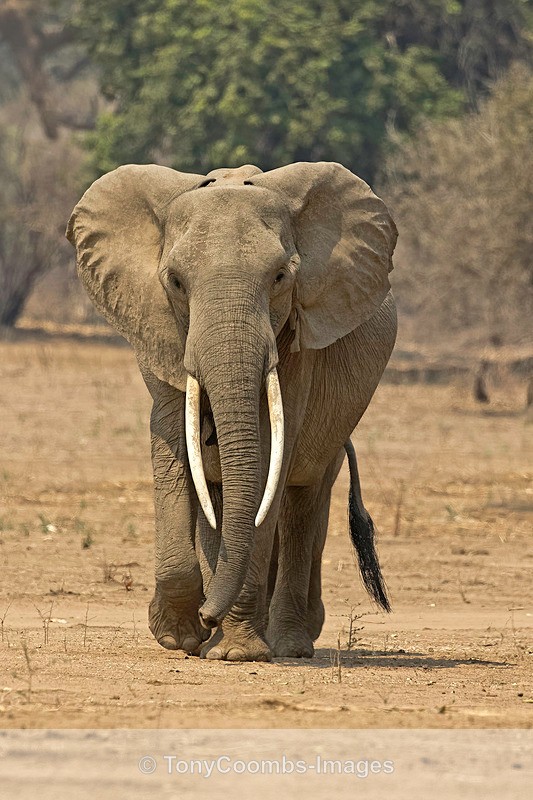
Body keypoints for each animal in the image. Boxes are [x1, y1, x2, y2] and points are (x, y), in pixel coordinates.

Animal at [67, 161, 397, 662]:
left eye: (280, 277)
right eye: (175, 281)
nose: (208, 617)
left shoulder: (296, 347)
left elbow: (264, 462)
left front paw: (234, 652)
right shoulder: (159, 331)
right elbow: (177, 447)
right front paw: (181, 638)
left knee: (303, 501)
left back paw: (289, 643)